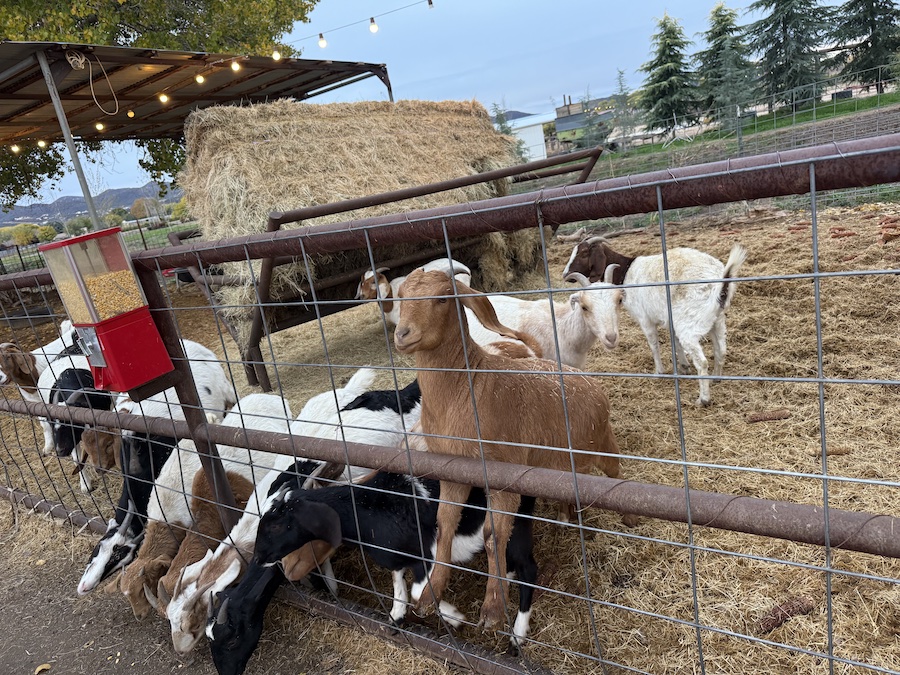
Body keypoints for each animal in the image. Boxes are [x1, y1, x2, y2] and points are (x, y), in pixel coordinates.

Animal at [393, 269, 632, 633]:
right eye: (401, 295)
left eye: (443, 298)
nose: (402, 334)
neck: (467, 387)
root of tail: (590, 381)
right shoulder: (451, 470)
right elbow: (444, 525)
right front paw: (429, 596)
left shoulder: (503, 472)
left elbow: (493, 536)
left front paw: (493, 608)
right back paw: (567, 514)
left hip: (603, 441)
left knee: (618, 474)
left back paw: (631, 518)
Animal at [563, 239, 747, 406]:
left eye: (584, 253)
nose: (565, 274)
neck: (626, 271)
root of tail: (720, 285)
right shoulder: (671, 318)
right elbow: (675, 341)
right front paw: (683, 366)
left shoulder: (645, 318)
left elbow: (653, 344)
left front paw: (659, 372)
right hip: (717, 320)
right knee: (721, 350)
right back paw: (716, 378)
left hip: (689, 325)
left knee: (702, 362)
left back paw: (703, 399)